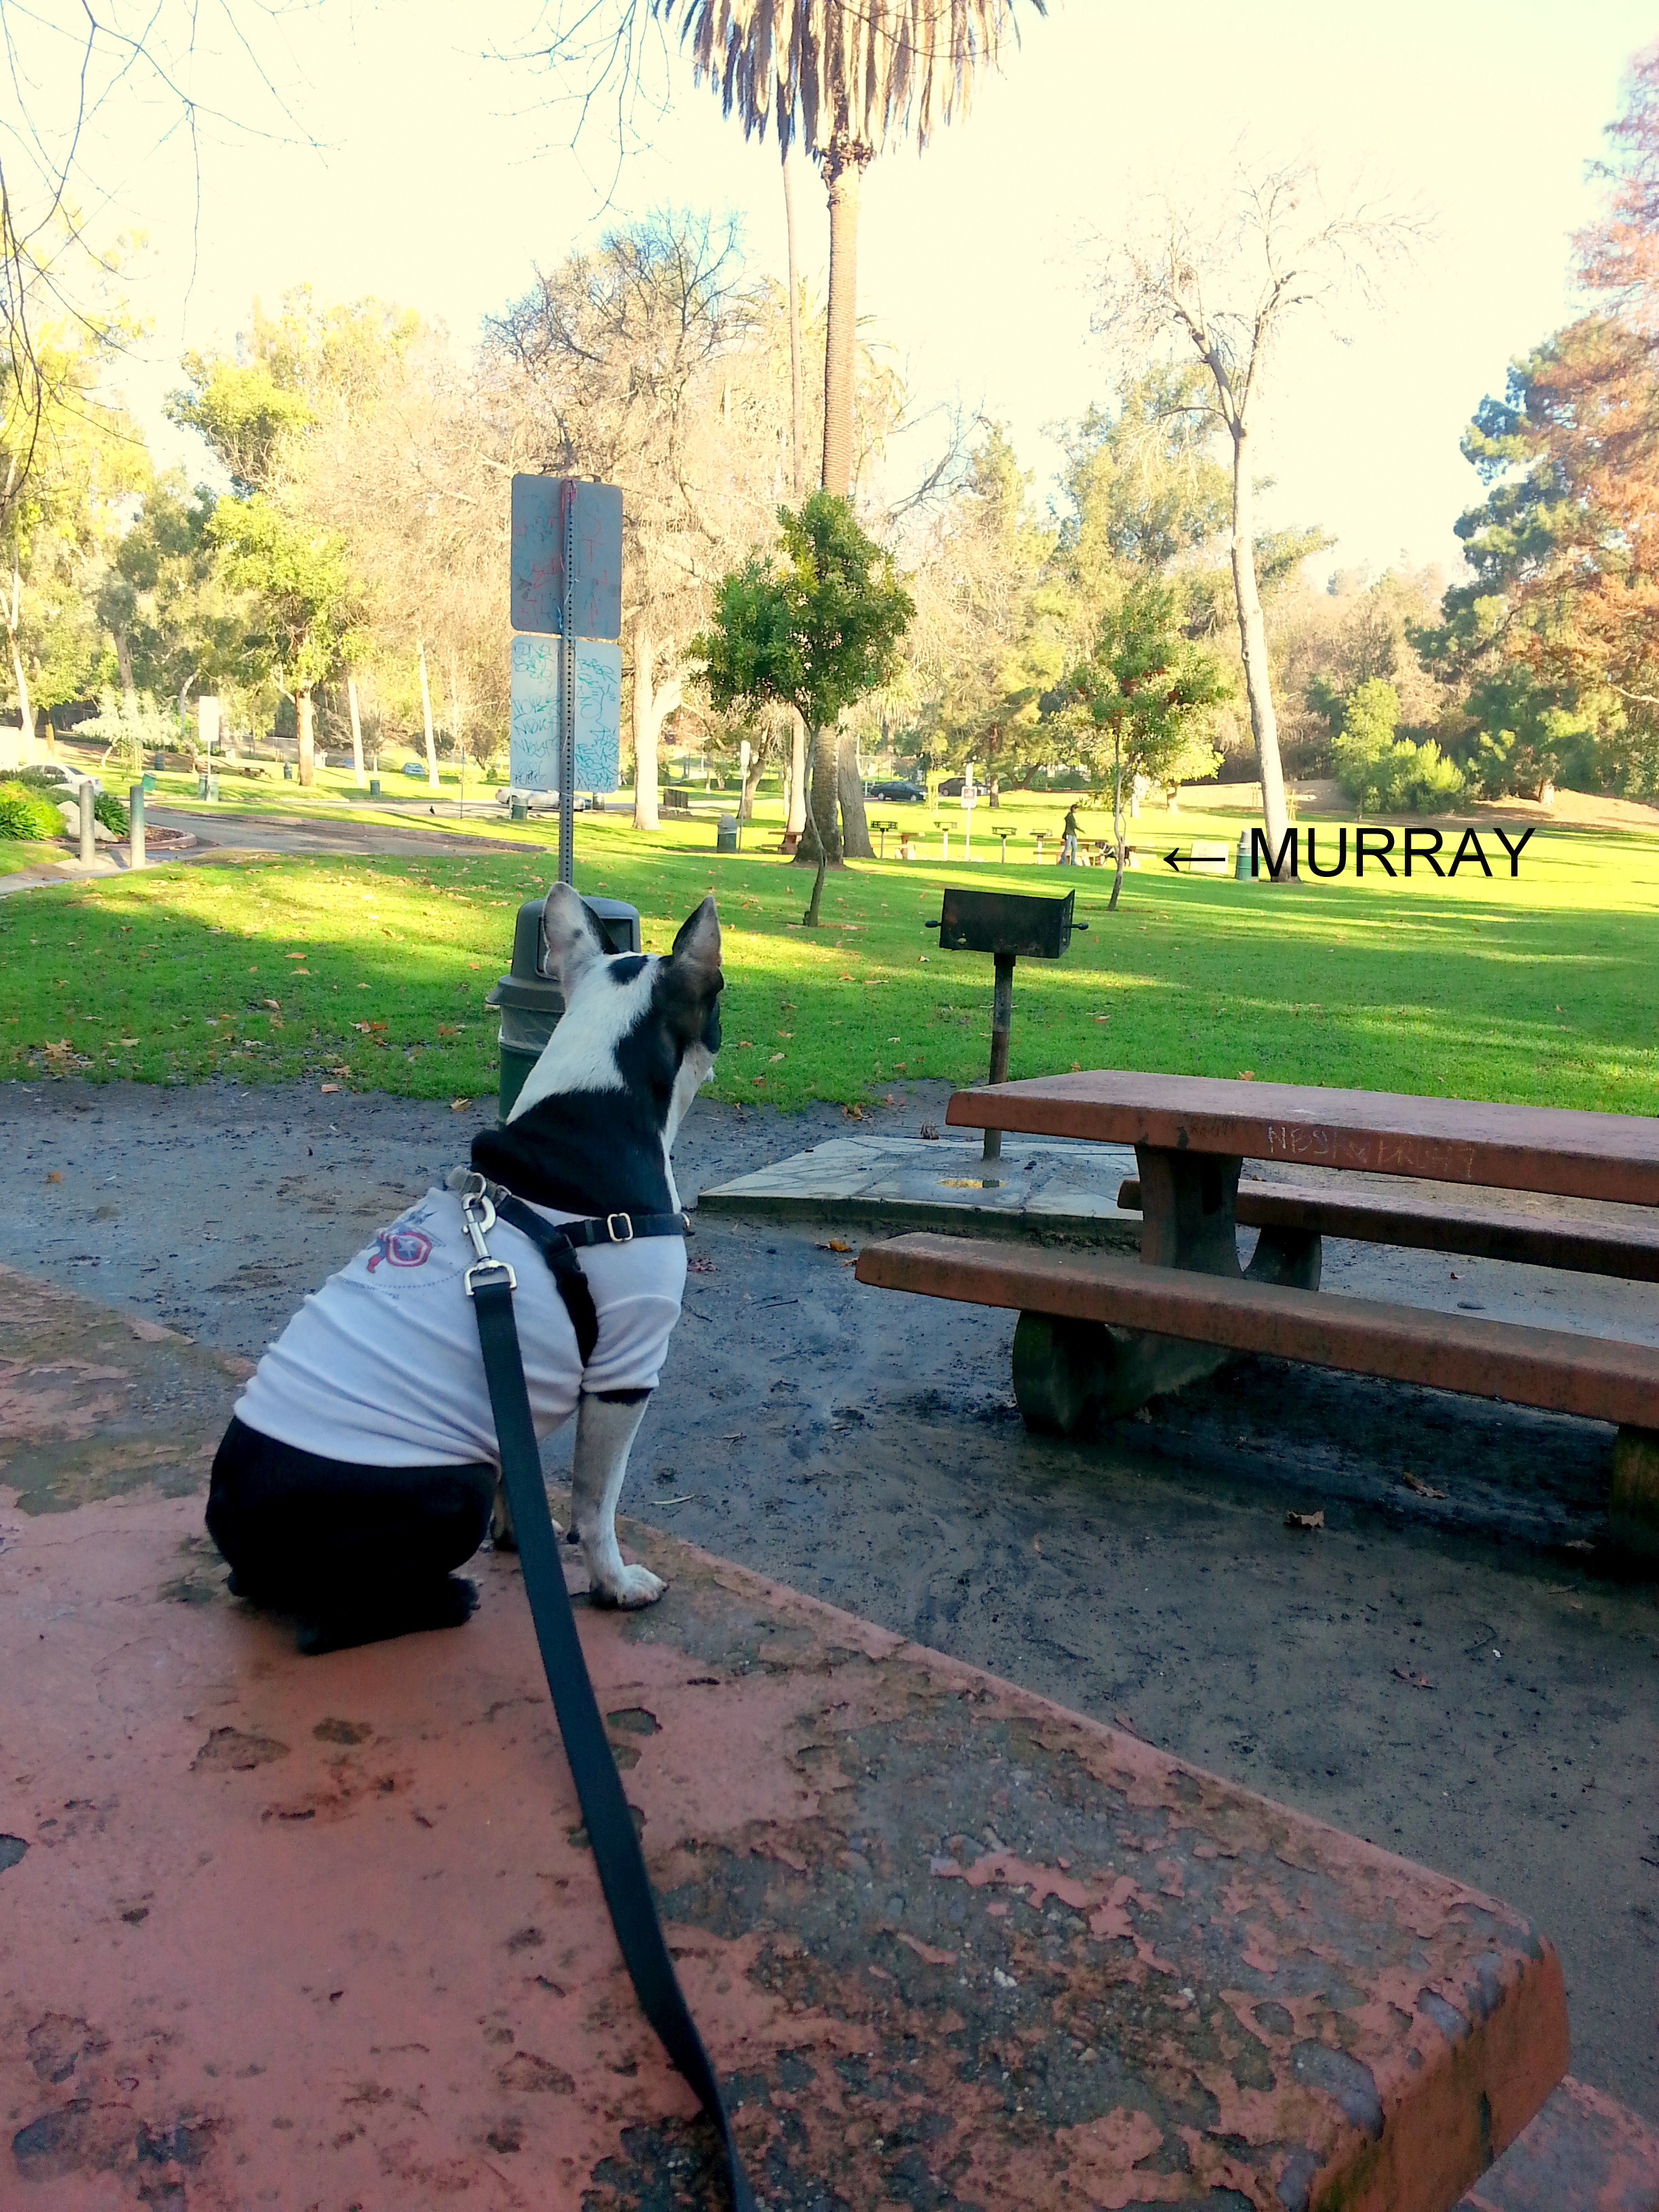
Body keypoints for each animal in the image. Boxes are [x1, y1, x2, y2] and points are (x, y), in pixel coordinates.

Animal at [205, 884, 722, 1651]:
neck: (599, 1100)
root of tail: (227, 1513)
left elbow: (522, 1466)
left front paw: (521, 1536)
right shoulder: (624, 1374)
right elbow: (596, 1502)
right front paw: (615, 1583)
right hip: (452, 1488)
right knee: (327, 1619)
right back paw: (445, 1597)